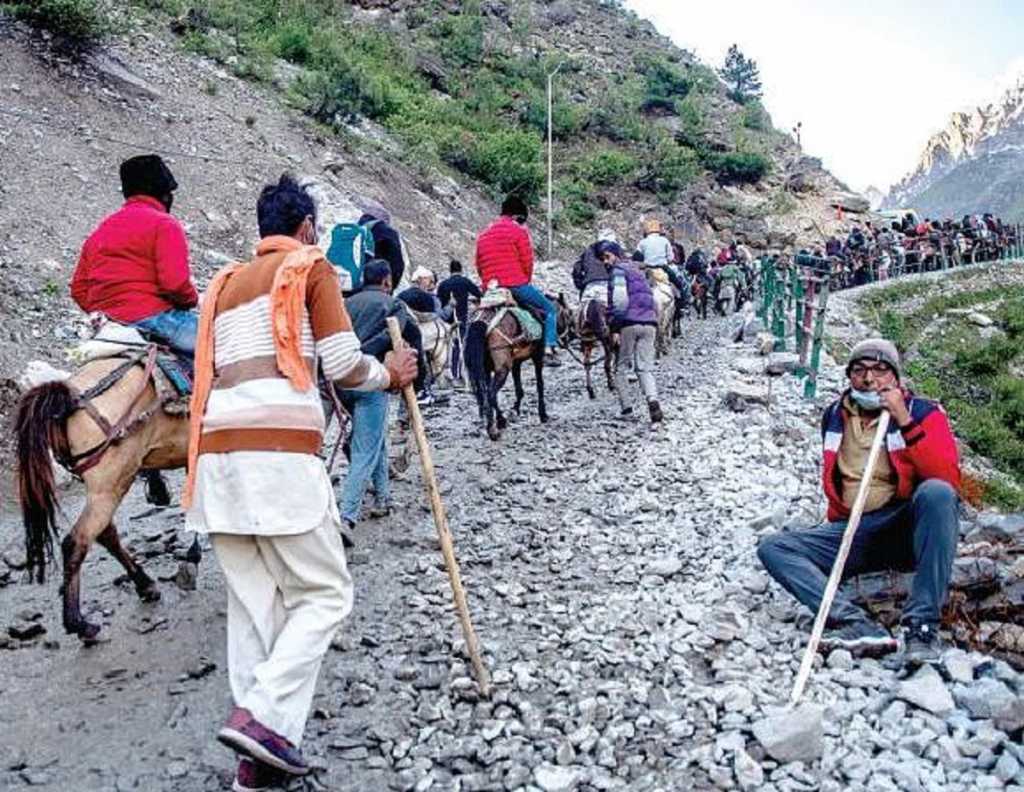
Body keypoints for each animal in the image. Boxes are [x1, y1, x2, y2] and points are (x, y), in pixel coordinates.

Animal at [15, 354, 188, 639]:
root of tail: (70, 398)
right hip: (110, 484)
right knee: (78, 541)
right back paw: (79, 623)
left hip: (105, 486)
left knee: (105, 533)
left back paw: (144, 584)